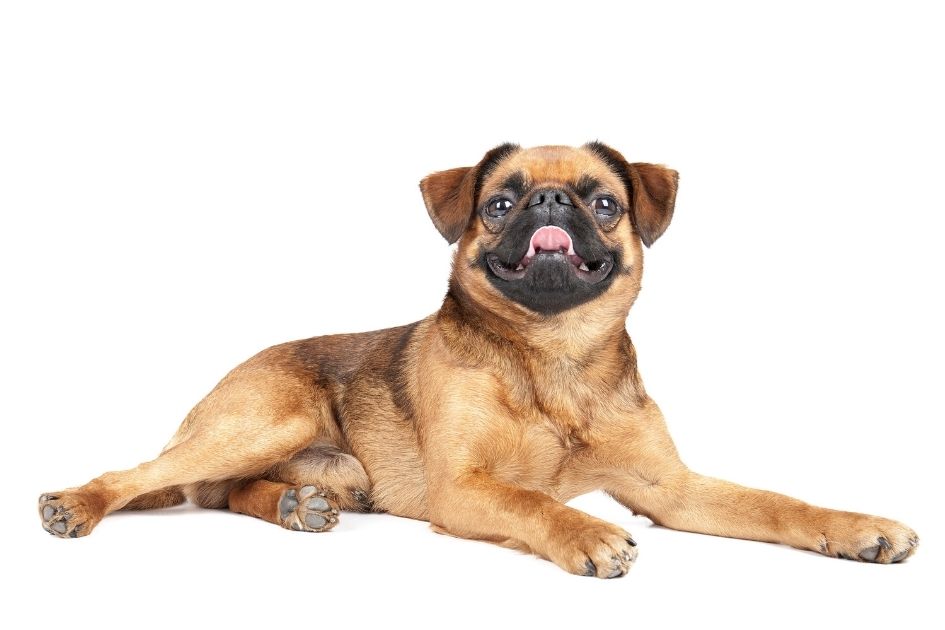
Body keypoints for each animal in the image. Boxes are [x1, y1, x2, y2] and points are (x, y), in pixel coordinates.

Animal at [37, 143, 916, 576]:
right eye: (499, 203)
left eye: (604, 201)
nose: (551, 202)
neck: (553, 358)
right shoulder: (463, 488)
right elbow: (533, 501)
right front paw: (585, 532)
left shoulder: (670, 491)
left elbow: (776, 504)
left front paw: (859, 528)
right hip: (264, 419)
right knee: (148, 476)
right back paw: (76, 503)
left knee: (222, 492)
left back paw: (295, 504)